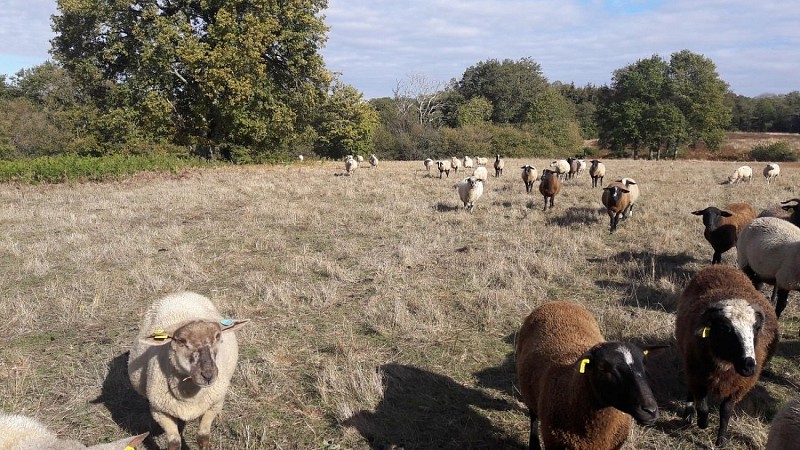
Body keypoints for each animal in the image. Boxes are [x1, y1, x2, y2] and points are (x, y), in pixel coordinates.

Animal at [127, 292, 250, 450]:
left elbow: (203, 437)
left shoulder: (214, 405)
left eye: (217, 336)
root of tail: (179, 293)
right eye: (181, 341)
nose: (208, 375)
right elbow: (174, 443)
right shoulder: (160, 412)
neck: (190, 398)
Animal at [516, 300, 660, 450]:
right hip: (528, 391)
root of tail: (559, 302)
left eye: (644, 364)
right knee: (533, 416)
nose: (650, 411)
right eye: (603, 368)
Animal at [676, 266, 776, 448]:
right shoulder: (697, 374)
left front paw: (721, 440)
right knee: (690, 389)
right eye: (724, 329)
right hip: (690, 363)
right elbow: (702, 406)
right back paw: (689, 413)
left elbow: (726, 410)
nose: (749, 367)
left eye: (756, 328)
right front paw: (702, 423)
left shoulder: (740, 385)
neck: (725, 365)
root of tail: (722, 267)